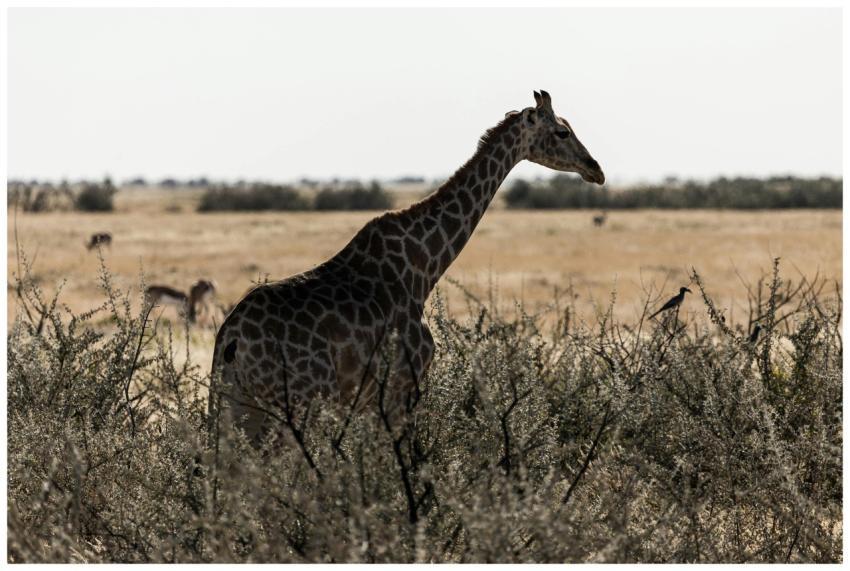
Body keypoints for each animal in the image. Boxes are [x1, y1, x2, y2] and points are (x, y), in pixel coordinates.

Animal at [209, 90, 605, 444]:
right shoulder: (403, 385)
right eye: (562, 131)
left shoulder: (370, 400)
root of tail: (231, 337)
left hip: (236, 405)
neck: (424, 265)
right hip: (297, 405)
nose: (596, 169)